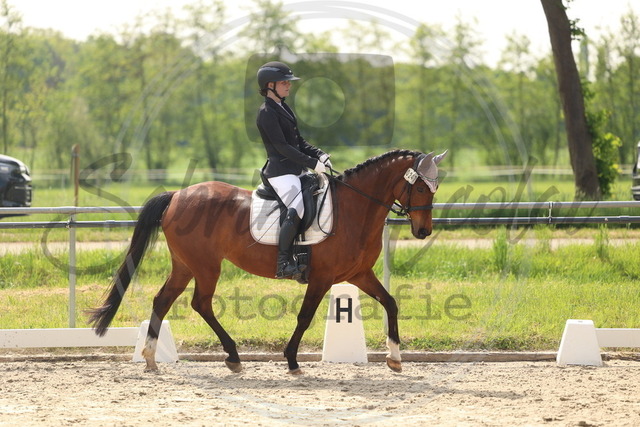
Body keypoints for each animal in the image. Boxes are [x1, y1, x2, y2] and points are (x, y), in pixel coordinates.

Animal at [88, 149, 447, 374]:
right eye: (421, 188)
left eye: (435, 187)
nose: (423, 231)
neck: (354, 209)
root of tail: (177, 195)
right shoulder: (322, 278)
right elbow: (304, 317)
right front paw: (292, 361)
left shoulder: (359, 274)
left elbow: (390, 303)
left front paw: (395, 358)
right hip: (206, 266)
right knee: (200, 303)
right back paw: (232, 356)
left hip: (185, 265)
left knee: (163, 300)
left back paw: (151, 358)